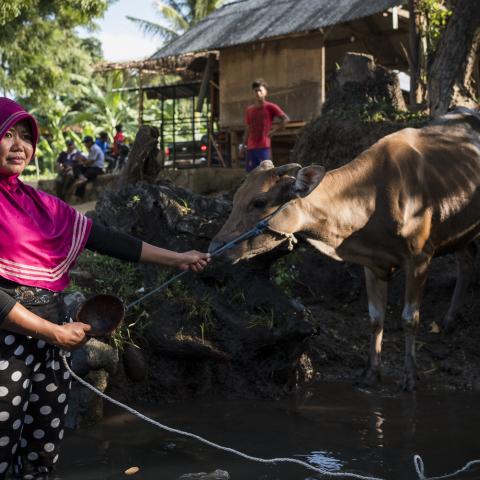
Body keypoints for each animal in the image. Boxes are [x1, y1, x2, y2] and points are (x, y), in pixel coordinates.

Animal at [209, 109, 480, 390]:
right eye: (236, 198)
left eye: (259, 202)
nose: (215, 247)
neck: (375, 197)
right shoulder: (374, 264)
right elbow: (375, 318)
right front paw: (371, 372)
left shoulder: (420, 258)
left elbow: (409, 319)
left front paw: (410, 376)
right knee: (467, 260)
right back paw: (449, 320)